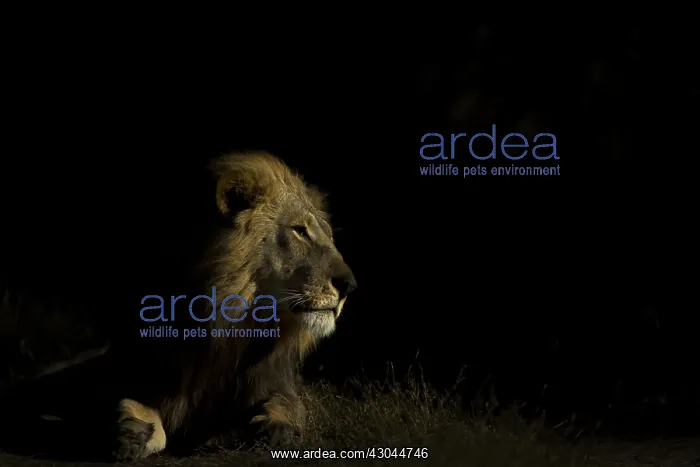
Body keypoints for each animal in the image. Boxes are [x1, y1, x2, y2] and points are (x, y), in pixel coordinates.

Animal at [1, 151, 357, 462]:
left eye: (326, 235)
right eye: (300, 231)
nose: (350, 285)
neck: (227, 333)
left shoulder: (276, 381)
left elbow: (287, 406)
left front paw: (275, 428)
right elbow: (126, 405)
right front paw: (131, 429)